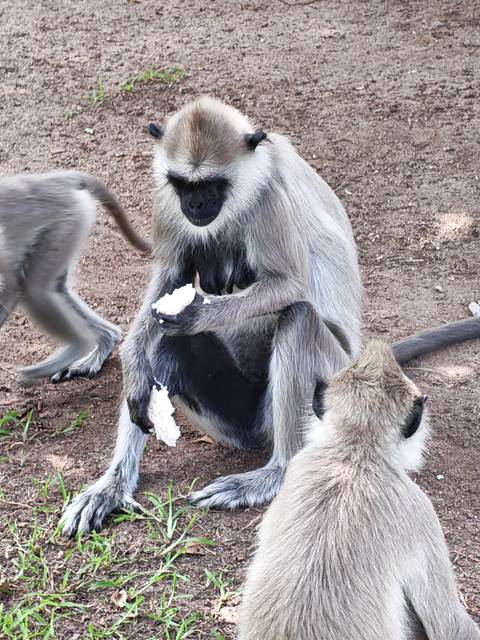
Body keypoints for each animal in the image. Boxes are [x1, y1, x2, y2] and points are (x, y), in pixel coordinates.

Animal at [0, 170, 150, 384]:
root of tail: (55, 179)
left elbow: (12, 286)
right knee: (54, 288)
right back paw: (106, 339)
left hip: (67, 222)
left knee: (34, 290)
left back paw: (78, 346)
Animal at [60, 96, 480, 535]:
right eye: (183, 186)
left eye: (211, 186)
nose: (195, 205)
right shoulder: (166, 201)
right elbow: (169, 281)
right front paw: (131, 359)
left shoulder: (269, 198)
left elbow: (291, 287)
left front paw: (195, 315)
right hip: (229, 422)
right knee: (164, 345)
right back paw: (114, 483)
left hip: (324, 378)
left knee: (298, 319)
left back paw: (275, 474)